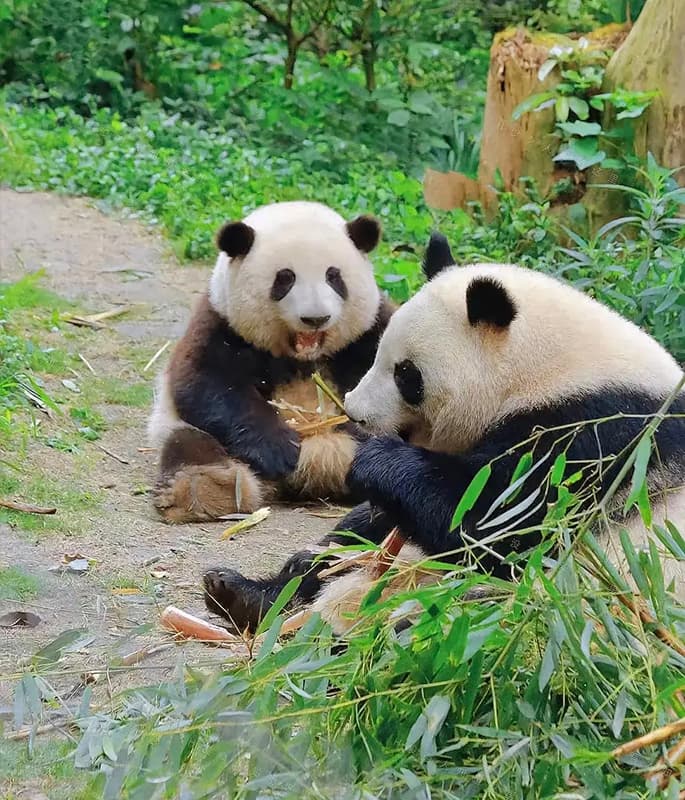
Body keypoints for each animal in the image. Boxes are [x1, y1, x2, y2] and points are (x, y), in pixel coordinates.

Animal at [148, 201, 393, 523]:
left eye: (333, 276)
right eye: (285, 278)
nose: (315, 318)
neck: (302, 357)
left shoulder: (371, 330)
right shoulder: (221, 325)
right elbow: (205, 383)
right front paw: (279, 449)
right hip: (187, 431)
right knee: (190, 443)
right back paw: (207, 489)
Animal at [203, 232, 685, 633]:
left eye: (406, 374)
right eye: (377, 354)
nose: (356, 414)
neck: (549, 367)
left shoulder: (599, 432)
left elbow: (499, 520)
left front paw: (375, 461)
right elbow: (380, 520)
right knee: (326, 570)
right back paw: (240, 592)